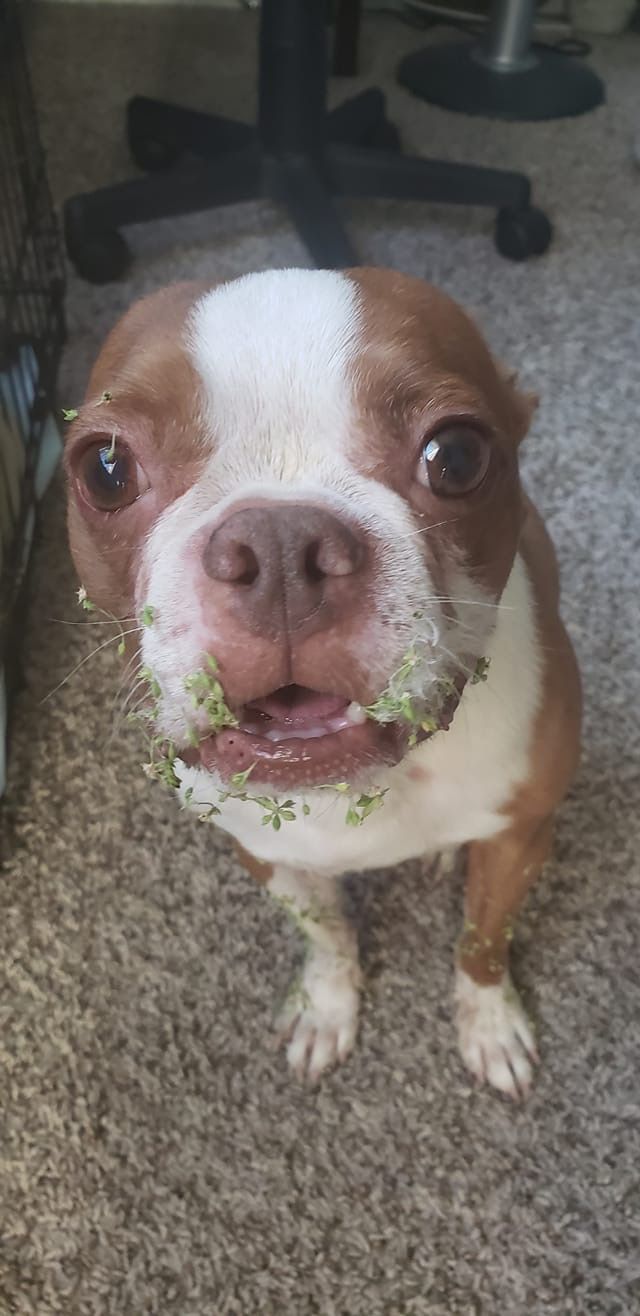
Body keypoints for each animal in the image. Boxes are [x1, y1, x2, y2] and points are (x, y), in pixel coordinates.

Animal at [63, 267, 579, 1100]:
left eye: (458, 457)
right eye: (103, 470)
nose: (278, 545)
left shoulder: (520, 840)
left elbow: (482, 938)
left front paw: (489, 1021)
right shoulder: (265, 855)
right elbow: (327, 932)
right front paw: (326, 1005)